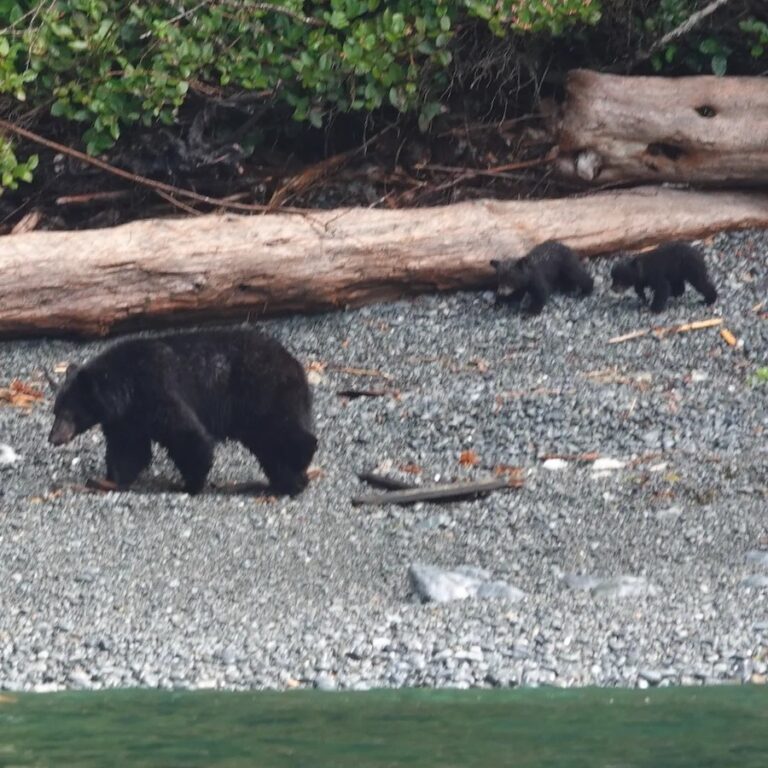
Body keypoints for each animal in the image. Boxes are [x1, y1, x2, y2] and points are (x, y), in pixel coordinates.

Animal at [48, 328, 317, 496]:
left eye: (68, 412)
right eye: (55, 411)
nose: (53, 438)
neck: (125, 389)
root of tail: (295, 364)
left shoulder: (155, 389)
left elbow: (186, 433)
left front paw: (191, 483)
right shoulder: (126, 418)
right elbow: (128, 449)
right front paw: (108, 479)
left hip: (262, 394)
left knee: (282, 432)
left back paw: (299, 468)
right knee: (270, 445)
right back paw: (285, 480)